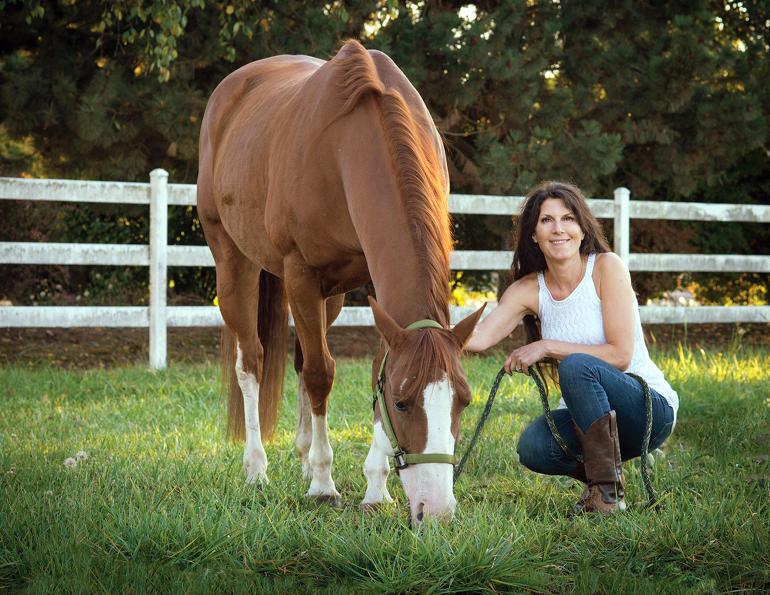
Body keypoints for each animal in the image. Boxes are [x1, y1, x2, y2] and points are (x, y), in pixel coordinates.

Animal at [196, 39, 484, 525]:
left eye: (463, 400)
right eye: (403, 403)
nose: (438, 510)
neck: (345, 148)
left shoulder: (373, 288)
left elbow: (368, 372)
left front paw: (376, 488)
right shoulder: (300, 273)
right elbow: (320, 373)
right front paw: (323, 484)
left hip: (328, 297)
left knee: (296, 358)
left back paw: (301, 451)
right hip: (235, 263)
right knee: (252, 362)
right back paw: (257, 468)